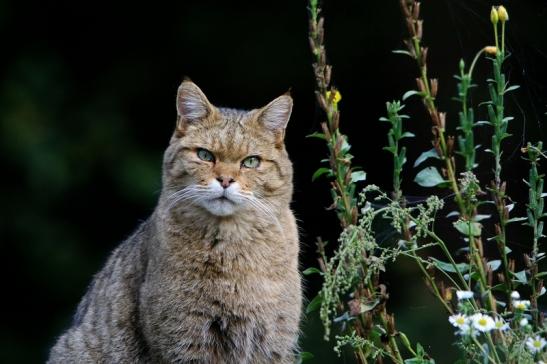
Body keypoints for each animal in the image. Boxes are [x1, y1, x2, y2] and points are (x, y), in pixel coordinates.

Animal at [46, 81, 304, 362]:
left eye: (251, 161)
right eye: (205, 155)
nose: (225, 180)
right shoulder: (184, 340)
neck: (232, 248)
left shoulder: (274, 343)